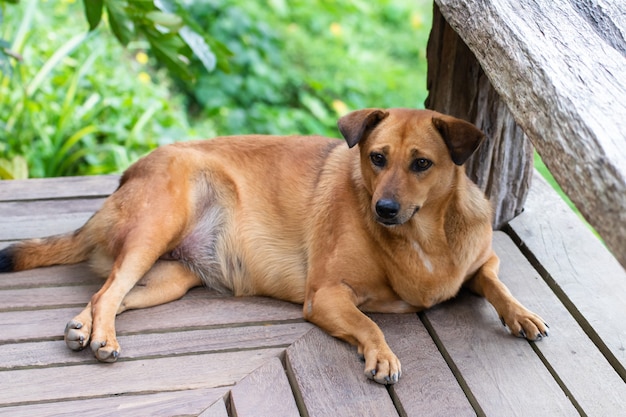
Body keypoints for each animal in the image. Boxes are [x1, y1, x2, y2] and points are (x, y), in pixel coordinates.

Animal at [0, 108, 544, 384]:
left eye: (422, 164)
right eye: (376, 157)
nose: (384, 209)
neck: (423, 233)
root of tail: (122, 180)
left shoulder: (483, 260)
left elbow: (496, 284)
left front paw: (522, 314)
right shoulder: (327, 295)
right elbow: (370, 324)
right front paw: (383, 355)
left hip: (167, 278)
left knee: (107, 296)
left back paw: (84, 330)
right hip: (157, 226)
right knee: (106, 291)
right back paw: (104, 338)